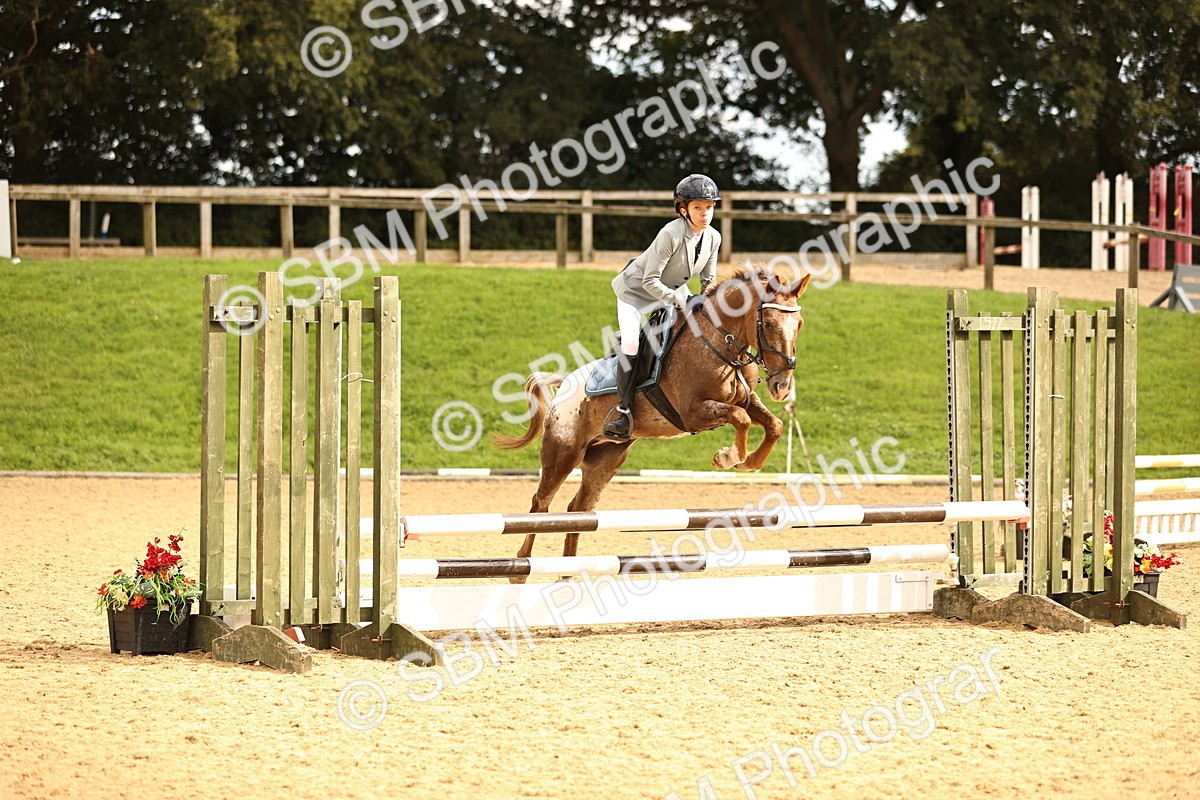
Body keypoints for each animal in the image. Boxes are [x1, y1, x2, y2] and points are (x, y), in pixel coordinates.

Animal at [494, 266, 811, 578]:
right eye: (768, 324)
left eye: (799, 324)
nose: (782, 386)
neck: (719, 342)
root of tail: (565, 383)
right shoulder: (693, 412)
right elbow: (741, 419)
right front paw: (727, 457)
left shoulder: (745, 400)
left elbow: (773, 425)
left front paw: (750, 462)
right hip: (563, 452)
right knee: (541, 504)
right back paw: (520, 568)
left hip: (605, 460)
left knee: (578, 510)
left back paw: (570, 572)